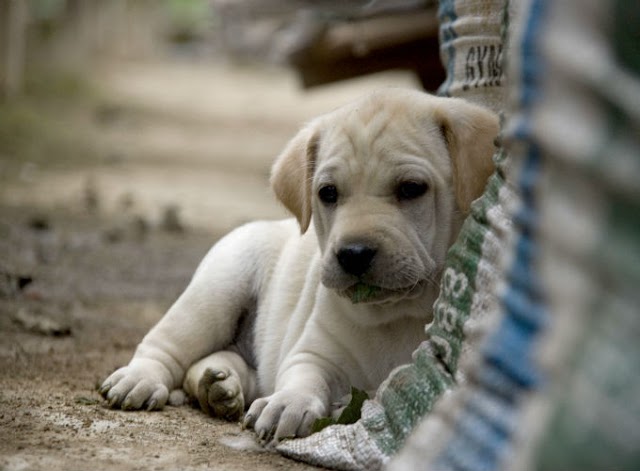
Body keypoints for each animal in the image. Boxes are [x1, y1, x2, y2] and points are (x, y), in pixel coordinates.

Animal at [101, 89, 500, 446]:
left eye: (412, 188)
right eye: (328, 193)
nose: (353, 254)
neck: (395, 312)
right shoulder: (314, 351)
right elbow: (303, 376)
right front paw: (285, 404)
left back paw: (219, 385)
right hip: (216, 291)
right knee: (167, 345)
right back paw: (141, 378)